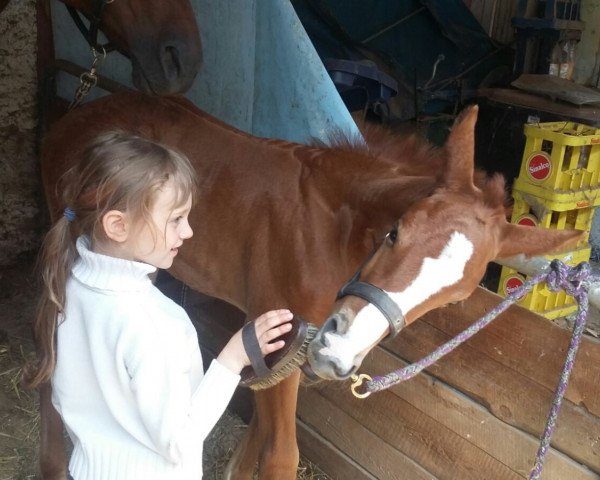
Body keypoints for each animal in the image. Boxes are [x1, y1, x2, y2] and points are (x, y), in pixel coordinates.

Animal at [39, 92, 584, 478]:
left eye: (455, 298)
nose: (338, 353)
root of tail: (76, 114)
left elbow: (261, 426)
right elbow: (281, 454)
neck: (330, 227)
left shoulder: (291, 340)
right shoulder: (284, 329)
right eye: (395, 232)